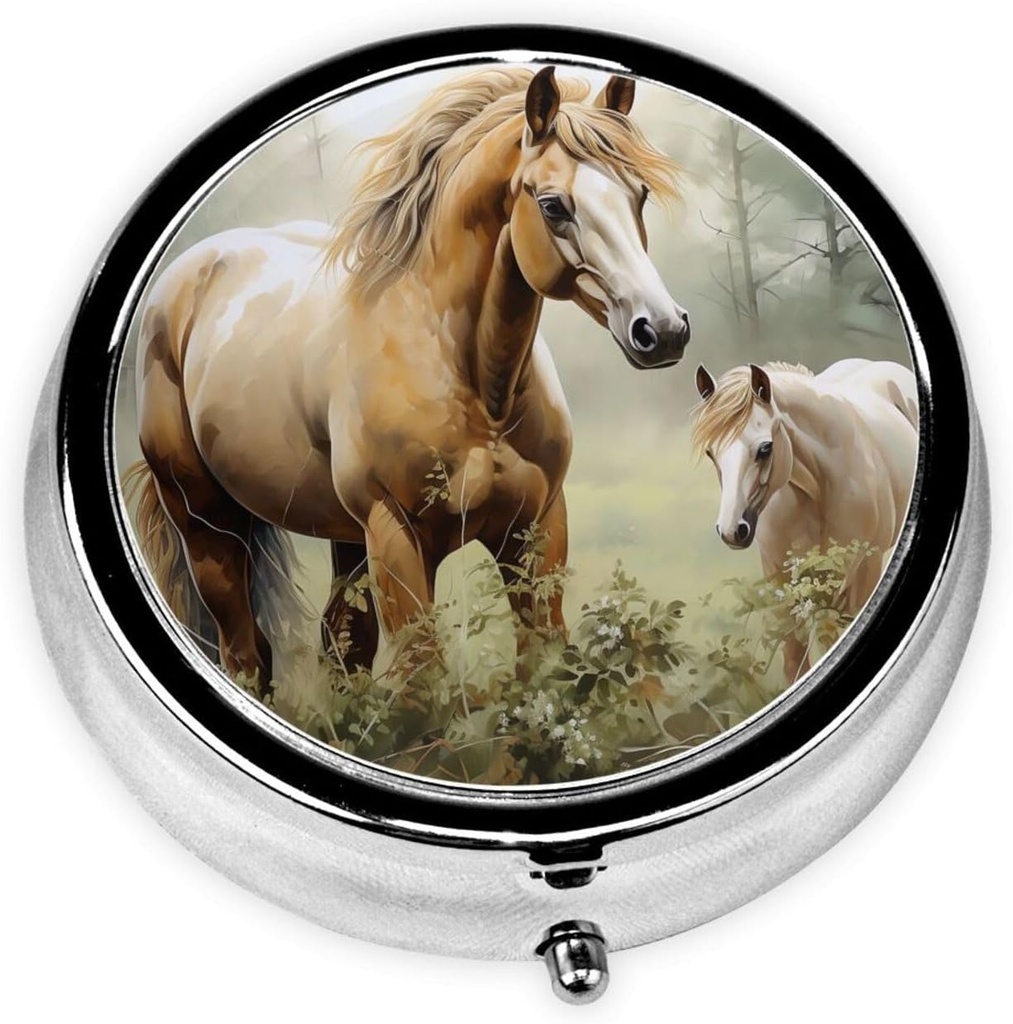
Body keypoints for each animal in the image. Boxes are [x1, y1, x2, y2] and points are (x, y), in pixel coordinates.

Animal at [125, 65, 690, 693]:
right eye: (553, 206)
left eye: (638, 195)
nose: (663, 330)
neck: (475, 386)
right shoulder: (396, 535)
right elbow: (423, 676)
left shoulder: (536, 529)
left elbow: (540, 665)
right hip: (208, 523)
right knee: (245, 651)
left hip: (344, 537)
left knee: (341, 642)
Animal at [691, 358, 918, 682]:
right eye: (711, 453)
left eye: (765, 448)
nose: (731, 530)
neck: (819, 486)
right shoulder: (782, 580)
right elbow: (794, 659)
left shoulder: (860, 573)